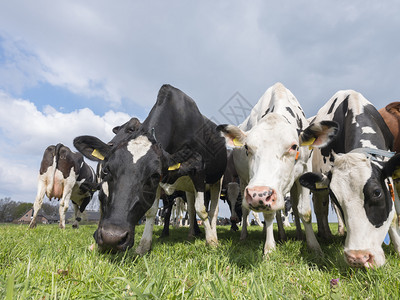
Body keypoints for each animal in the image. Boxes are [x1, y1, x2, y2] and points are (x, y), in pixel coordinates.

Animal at [73, 84, 227, 253]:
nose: (111, 237)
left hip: (216, 181)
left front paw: (211, 242)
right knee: (192, 210)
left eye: (154, 175)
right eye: (107, 170)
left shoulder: (198, 172)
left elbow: (202, 209)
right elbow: (152, 211)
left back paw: (212, 235)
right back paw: (192, 234)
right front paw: (143, 246)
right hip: (189, 188)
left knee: (212, 210)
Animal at [216, 82, 338, 255]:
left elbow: (304, 211)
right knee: (247, 211)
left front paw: (314, 246)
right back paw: (247, 235)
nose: (258, 194)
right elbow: (268, 215)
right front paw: (269, 248)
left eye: (294, 146)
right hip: (244, 180)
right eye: (247, 147)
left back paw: (292, 234)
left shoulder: (303, 173)